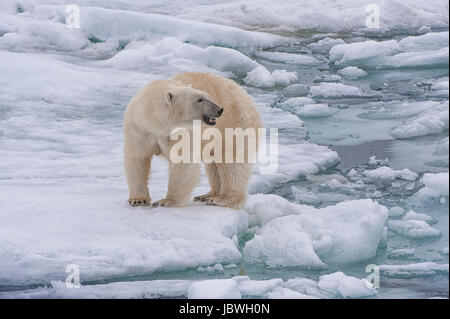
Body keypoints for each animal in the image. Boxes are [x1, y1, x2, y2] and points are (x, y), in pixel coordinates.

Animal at [124, 74, 264, 211]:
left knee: (232, 163)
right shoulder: (139, 129)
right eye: (200, 99)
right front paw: (138, 200)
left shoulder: (180, 132)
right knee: (213, 163)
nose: (220, 110)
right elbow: (137, 160)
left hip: (234, 124)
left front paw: (167, 201)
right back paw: (207, 195)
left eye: (207, 96)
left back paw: (222, 199)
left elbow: (183, 162)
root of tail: (244, 93)